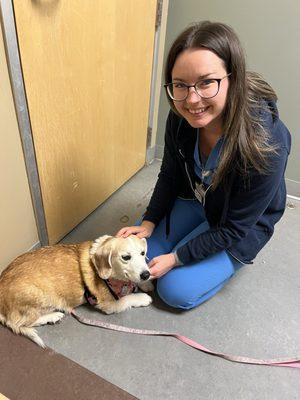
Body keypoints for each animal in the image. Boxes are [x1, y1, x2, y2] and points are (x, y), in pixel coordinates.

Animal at [0, 234, 154, 346]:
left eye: (143, 253)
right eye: (126, 257)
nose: (146, 274)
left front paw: (146, 283)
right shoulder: (109, 304)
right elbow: (128, 298)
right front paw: (143, 297)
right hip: (40, 296)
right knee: (22, 323)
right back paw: (53, 316)